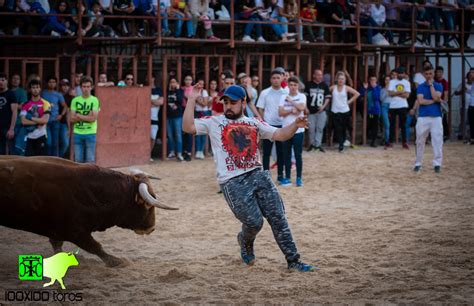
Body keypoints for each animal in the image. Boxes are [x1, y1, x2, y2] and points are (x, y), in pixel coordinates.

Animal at [0, 157, 178, 266]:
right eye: (148, 204)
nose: (152, 228)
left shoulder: (58, 231)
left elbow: (57, 246)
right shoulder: (74, 231)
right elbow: (95, 246)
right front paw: (117, 261)